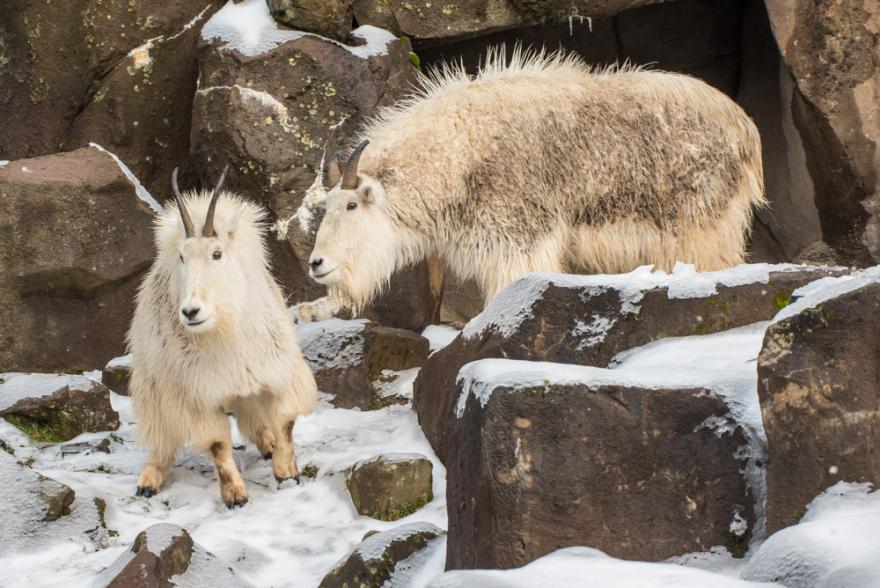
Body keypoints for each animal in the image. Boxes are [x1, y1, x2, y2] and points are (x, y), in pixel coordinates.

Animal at [129, 168, 318, 508]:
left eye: (216, 253)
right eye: (182, 256)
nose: (191, 311)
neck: (224, 332)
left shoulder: (275, 373)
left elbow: (284, 423)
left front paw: (287, 472)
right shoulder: (196, 396)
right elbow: (218, 445)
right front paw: (236, 496)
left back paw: (268, 446)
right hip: (155, 389)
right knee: (163, 440)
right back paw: (148, 481)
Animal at [300, 48, 764, 314]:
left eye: (352, 204)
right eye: (324, 208)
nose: (317, 264)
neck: (456, 155)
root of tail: (745, 128)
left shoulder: (519, 242)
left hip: (702, 224)